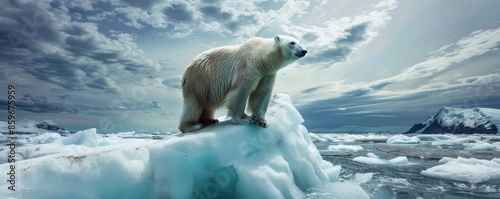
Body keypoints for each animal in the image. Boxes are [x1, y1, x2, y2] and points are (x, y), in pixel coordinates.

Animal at [178, 35, 306, 133]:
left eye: (300, 42)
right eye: (292, 43)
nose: (304, 51)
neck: (262, 58)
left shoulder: (267, 73)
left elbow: (262, 92)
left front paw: (261, 121)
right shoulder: (248, 65)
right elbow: (241, 90)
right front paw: (243, 119)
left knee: (208, 105)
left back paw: (210, 120)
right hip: (200, 78)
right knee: (195, 102)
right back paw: (192, 126)